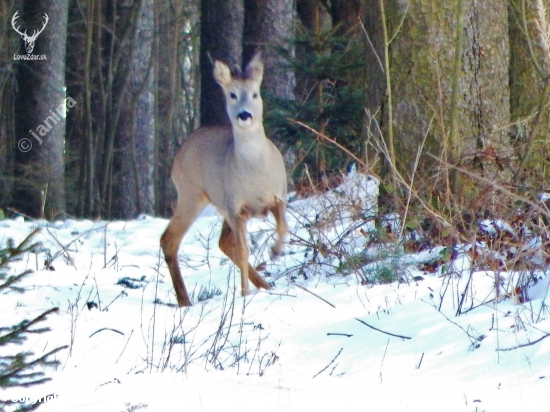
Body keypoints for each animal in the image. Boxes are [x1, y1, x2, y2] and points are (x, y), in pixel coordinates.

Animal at [160, 53, 288, 306]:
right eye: (232, 95)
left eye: (255, 94)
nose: (244, 115)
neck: (256, 175)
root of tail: (179, 153)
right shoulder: (235, 206)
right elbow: (244, 250)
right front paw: (244, 292)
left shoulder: (279, 197)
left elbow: (283, 228)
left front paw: (275, 251)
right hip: (192, 193)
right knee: (169, 239)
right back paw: (184, 300)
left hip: (213, 203)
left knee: (223, 242)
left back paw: (266, 285)